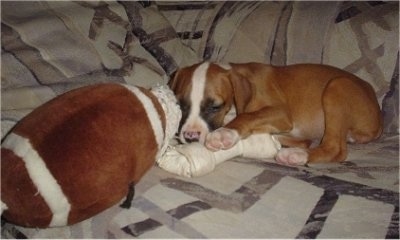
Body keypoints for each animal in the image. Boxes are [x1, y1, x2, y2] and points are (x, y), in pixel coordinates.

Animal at [167, 61, 382, 165]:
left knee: (335, 149)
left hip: (336, 86)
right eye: (180, 104)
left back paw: (296, 155)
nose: (190, 136)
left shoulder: (281, 113)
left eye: (215, 107)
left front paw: (224, 133)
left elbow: (247, 115)